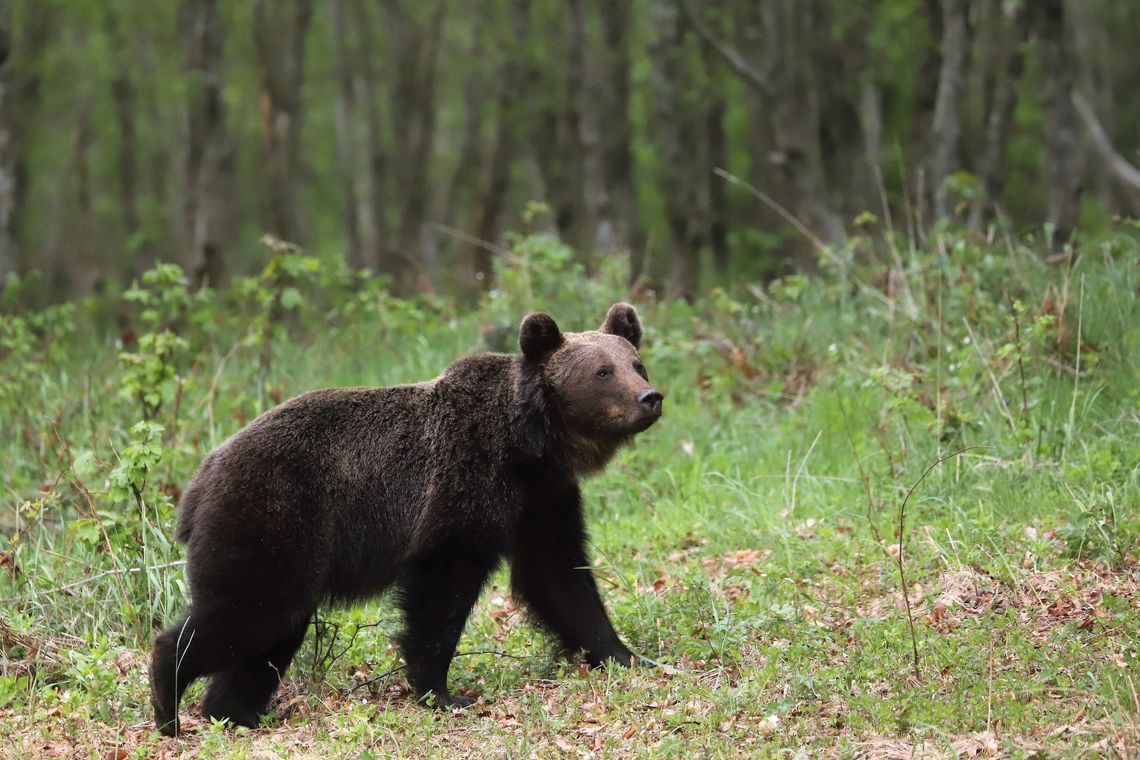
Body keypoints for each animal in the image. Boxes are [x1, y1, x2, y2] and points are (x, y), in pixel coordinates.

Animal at [152, 303, 665, 738]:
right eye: (602, 372)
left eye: (635, 363)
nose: (650, 396)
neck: (529, 445)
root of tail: (198, 483)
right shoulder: (465, 481)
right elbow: (442, 586)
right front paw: (443, 691)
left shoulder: (542, 499)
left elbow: (560, 578)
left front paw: (628, 656)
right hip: (272, 517)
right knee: (248, 611)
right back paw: (168, 700)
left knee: (272, 632)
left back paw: (236, 711)